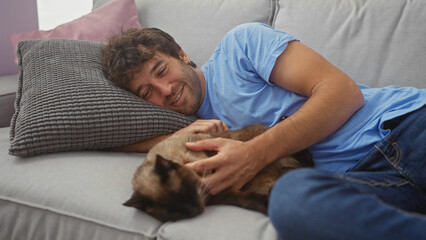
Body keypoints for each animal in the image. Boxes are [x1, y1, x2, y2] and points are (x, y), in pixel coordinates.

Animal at [123, 124, 312, 222]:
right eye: (174, 212)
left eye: (186, 191)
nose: (195, 209)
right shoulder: (220, 194)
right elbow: (245, 199)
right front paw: (264, 205)